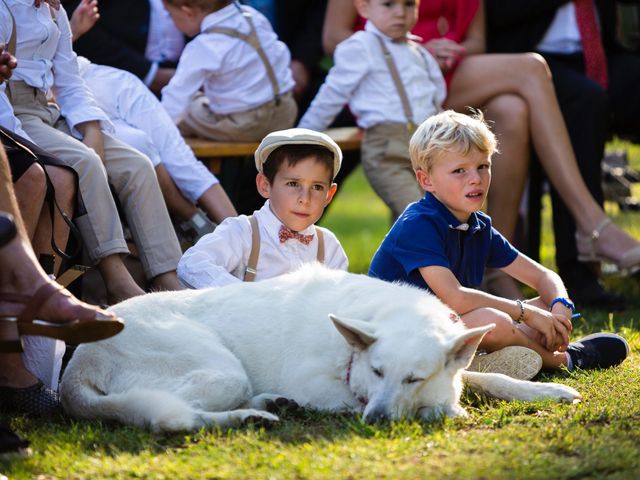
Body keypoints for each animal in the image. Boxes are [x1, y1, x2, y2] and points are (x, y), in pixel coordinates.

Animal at [60, 264, 580, 434]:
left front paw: (548, 393)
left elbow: (488, 377)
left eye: (412, 377)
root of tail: (75, 367)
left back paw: (269, 406)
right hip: (221, 370)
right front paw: (445, 410)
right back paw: (250, 416)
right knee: (172, 417)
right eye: (376, 371)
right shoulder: (318, 383)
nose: (376, 421)